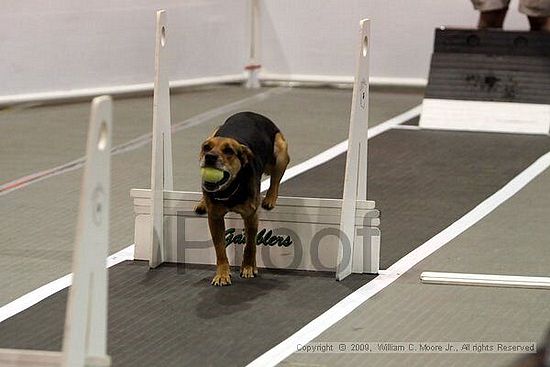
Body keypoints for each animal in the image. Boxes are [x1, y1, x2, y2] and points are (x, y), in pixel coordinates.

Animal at [195, 112, 292, 288]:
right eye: (206, 147)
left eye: (229, 151)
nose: (209, 157)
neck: (230, 188)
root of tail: (254, 114)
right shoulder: (215, 218)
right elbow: (220, 249)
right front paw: (222, 274)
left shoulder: (251, 215)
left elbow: (251, 244)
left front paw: (248, 267)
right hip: (214, 131)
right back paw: (202, 202)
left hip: (281, 150)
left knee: (275, 178)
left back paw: (270, 198)